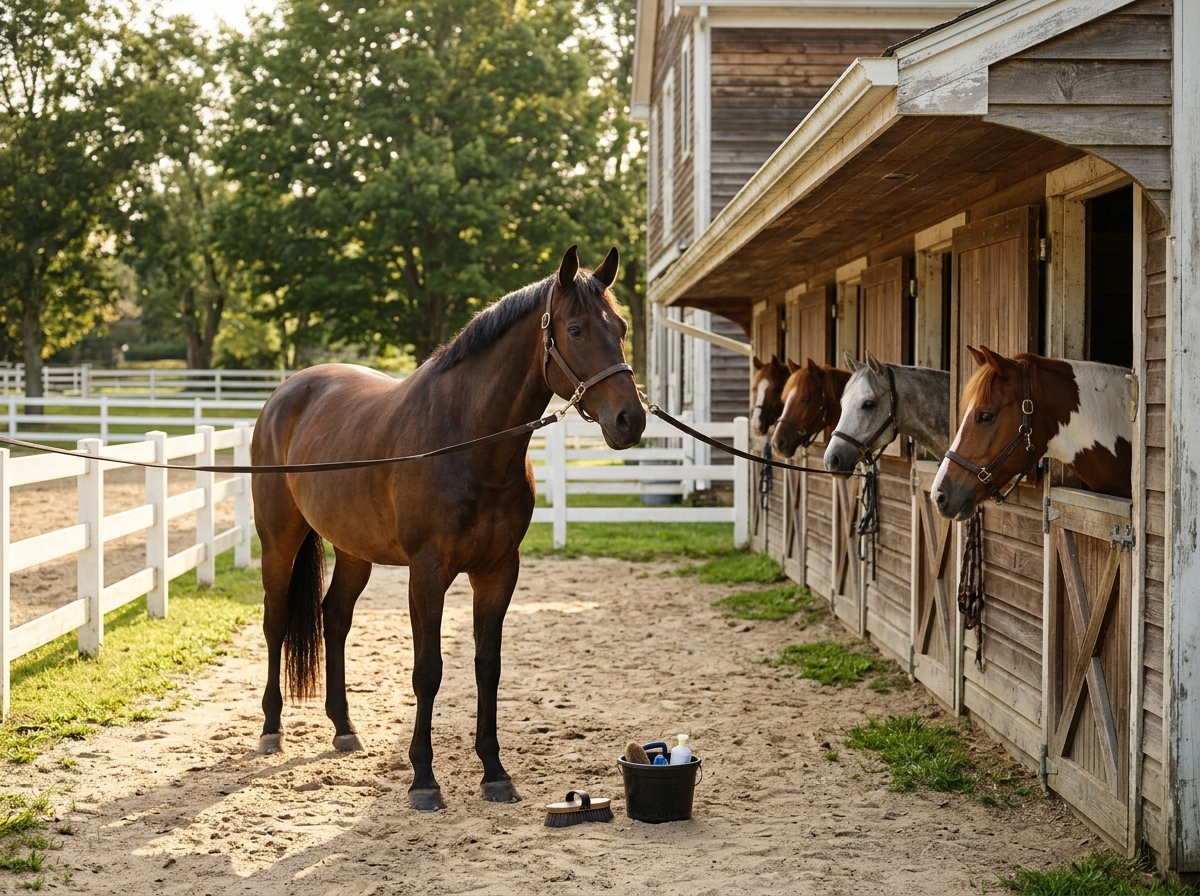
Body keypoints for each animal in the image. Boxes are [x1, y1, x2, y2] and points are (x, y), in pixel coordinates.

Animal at [251, 246, 645, 812]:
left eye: (621, 327)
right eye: (574, 330)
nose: (630, 420)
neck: (467, 441)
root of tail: (285, 394)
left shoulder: (498, 571)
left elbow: (487, 667)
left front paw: (494, 772)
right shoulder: (428, 573)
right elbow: (428, 671)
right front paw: (423, 779)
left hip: (354, 552)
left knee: (335, 618)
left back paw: (344, 728)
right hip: (279, 542)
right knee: (277, 623)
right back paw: (271, 729)